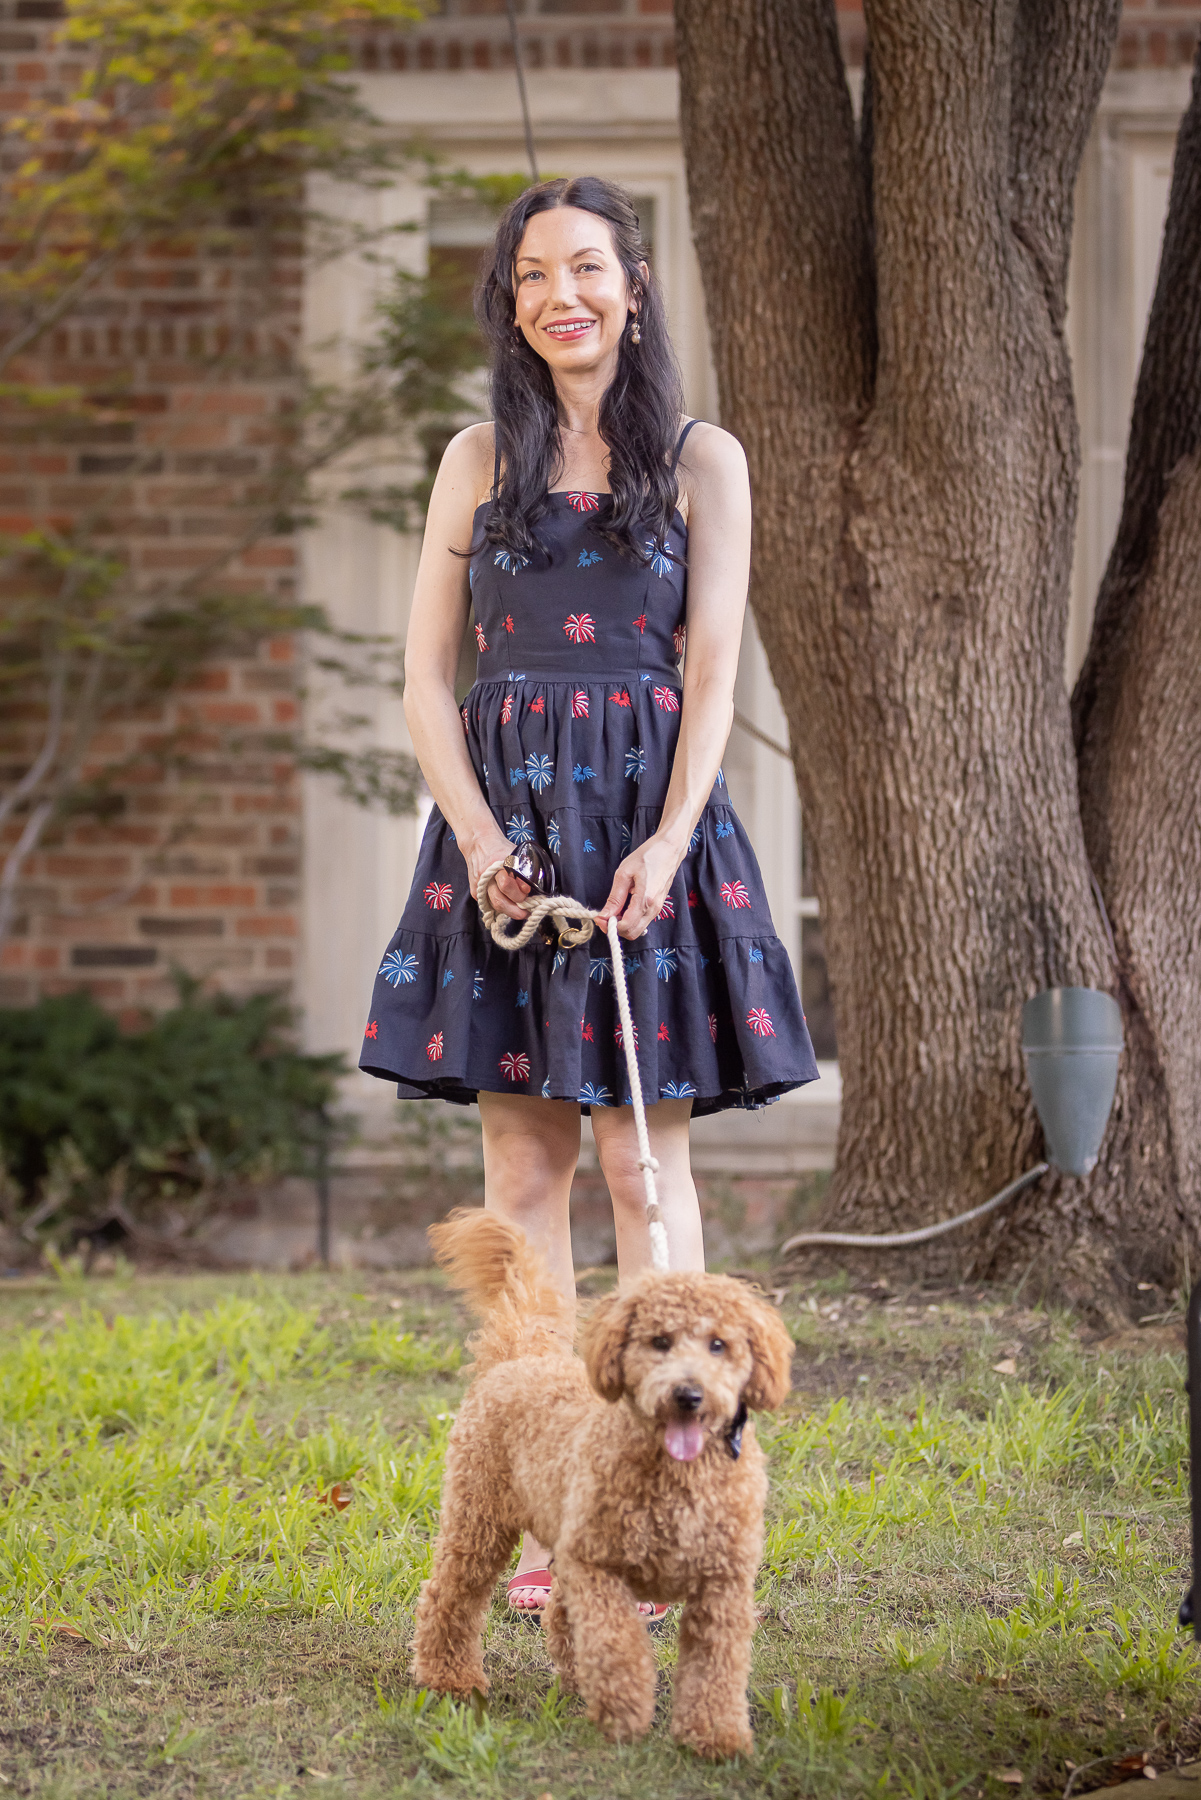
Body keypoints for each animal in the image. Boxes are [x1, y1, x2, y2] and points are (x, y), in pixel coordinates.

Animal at [414, 1209, 799, 1756]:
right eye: (659, 1341)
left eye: (719, 1345)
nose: (688, 1394)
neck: (678, 1474)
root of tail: (522, 1355)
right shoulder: (598, 1567)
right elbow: (617, 1646)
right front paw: (626, 1713)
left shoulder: (722, 1585)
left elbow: (717, 1669)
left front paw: (715, 1736)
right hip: (479, 1517)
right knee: (451, 1595)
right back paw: (450, 1679)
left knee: (557, 1614)